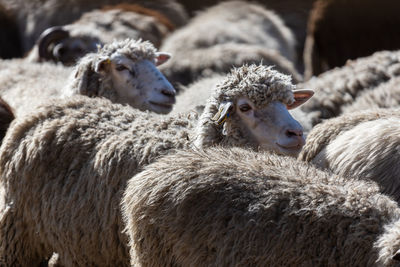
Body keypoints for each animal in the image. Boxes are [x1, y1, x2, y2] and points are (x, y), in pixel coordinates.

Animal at [0, 63, 314, 266]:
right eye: (245, 107)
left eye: (288, 103)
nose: (296, 133)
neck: (193, 141)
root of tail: (44, 109)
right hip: (18, 230)